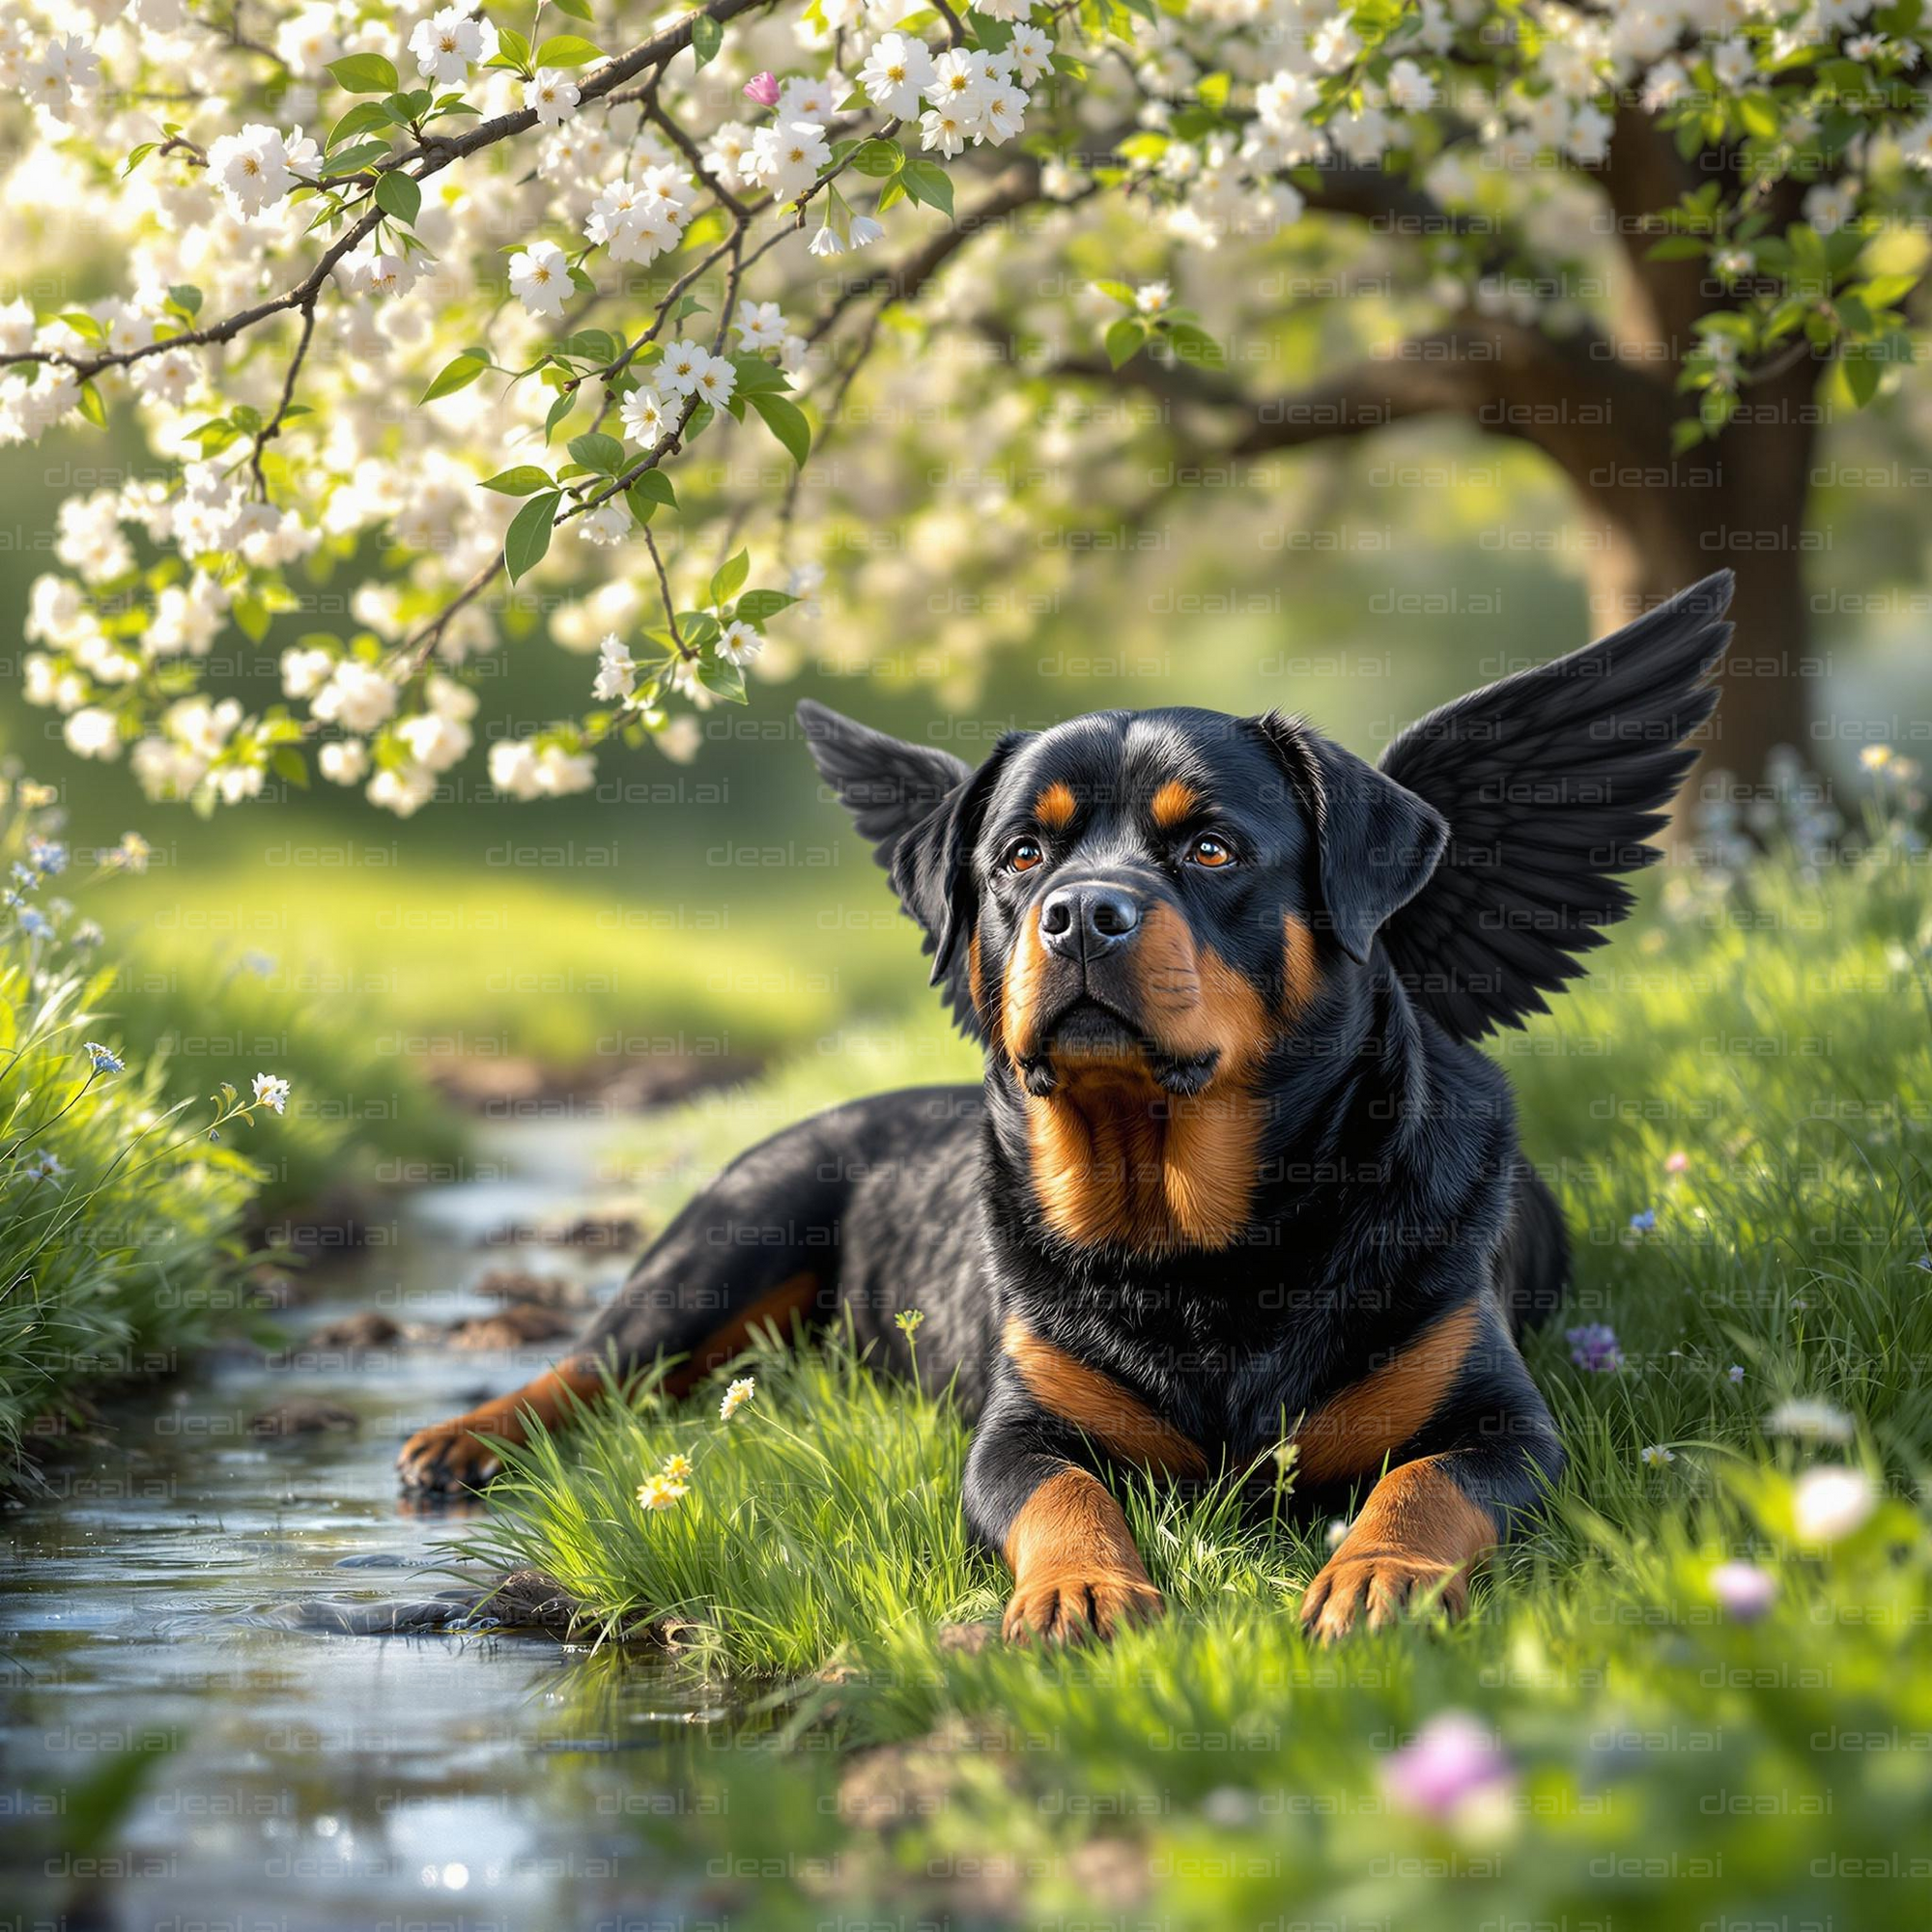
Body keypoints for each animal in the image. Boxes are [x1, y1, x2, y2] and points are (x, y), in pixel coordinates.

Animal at [400, 572, 1731, 1646]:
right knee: (597, 1360)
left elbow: (1426, 1481)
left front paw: (1379, 1574)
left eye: (1208, 848)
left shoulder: (1497, 1418)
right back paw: (466, 1436)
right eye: (1018, 855)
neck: (1193, 1238)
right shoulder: (1021, 1426)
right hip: (737, 1223)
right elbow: (1063, 1492)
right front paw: (1081, 1588)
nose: (1083, 910)